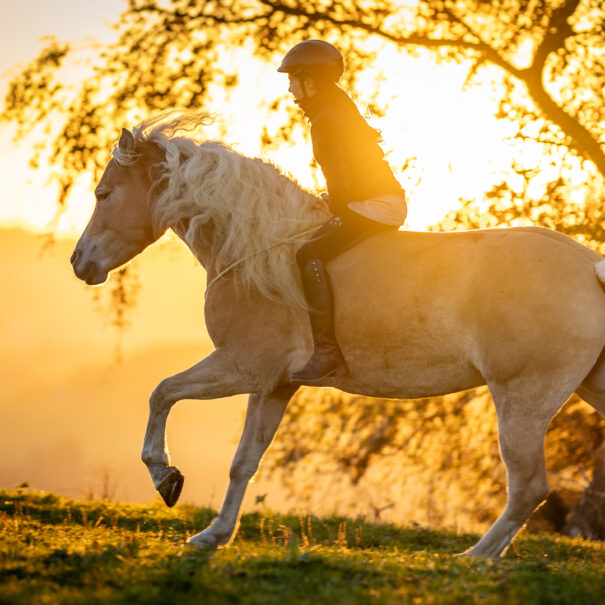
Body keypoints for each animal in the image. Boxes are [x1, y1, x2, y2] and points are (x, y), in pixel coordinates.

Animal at [72, 111, 605, 556]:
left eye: (103, 194)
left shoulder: (241, 367)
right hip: (587, 387)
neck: (259, 251)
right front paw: (213, 535)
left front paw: (166, 478)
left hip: (522, 400)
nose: (80, 263)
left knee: (529, 488)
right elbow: (244, 462)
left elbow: (162, 393)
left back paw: (475, 558)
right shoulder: (274, 385)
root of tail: (589, 266)